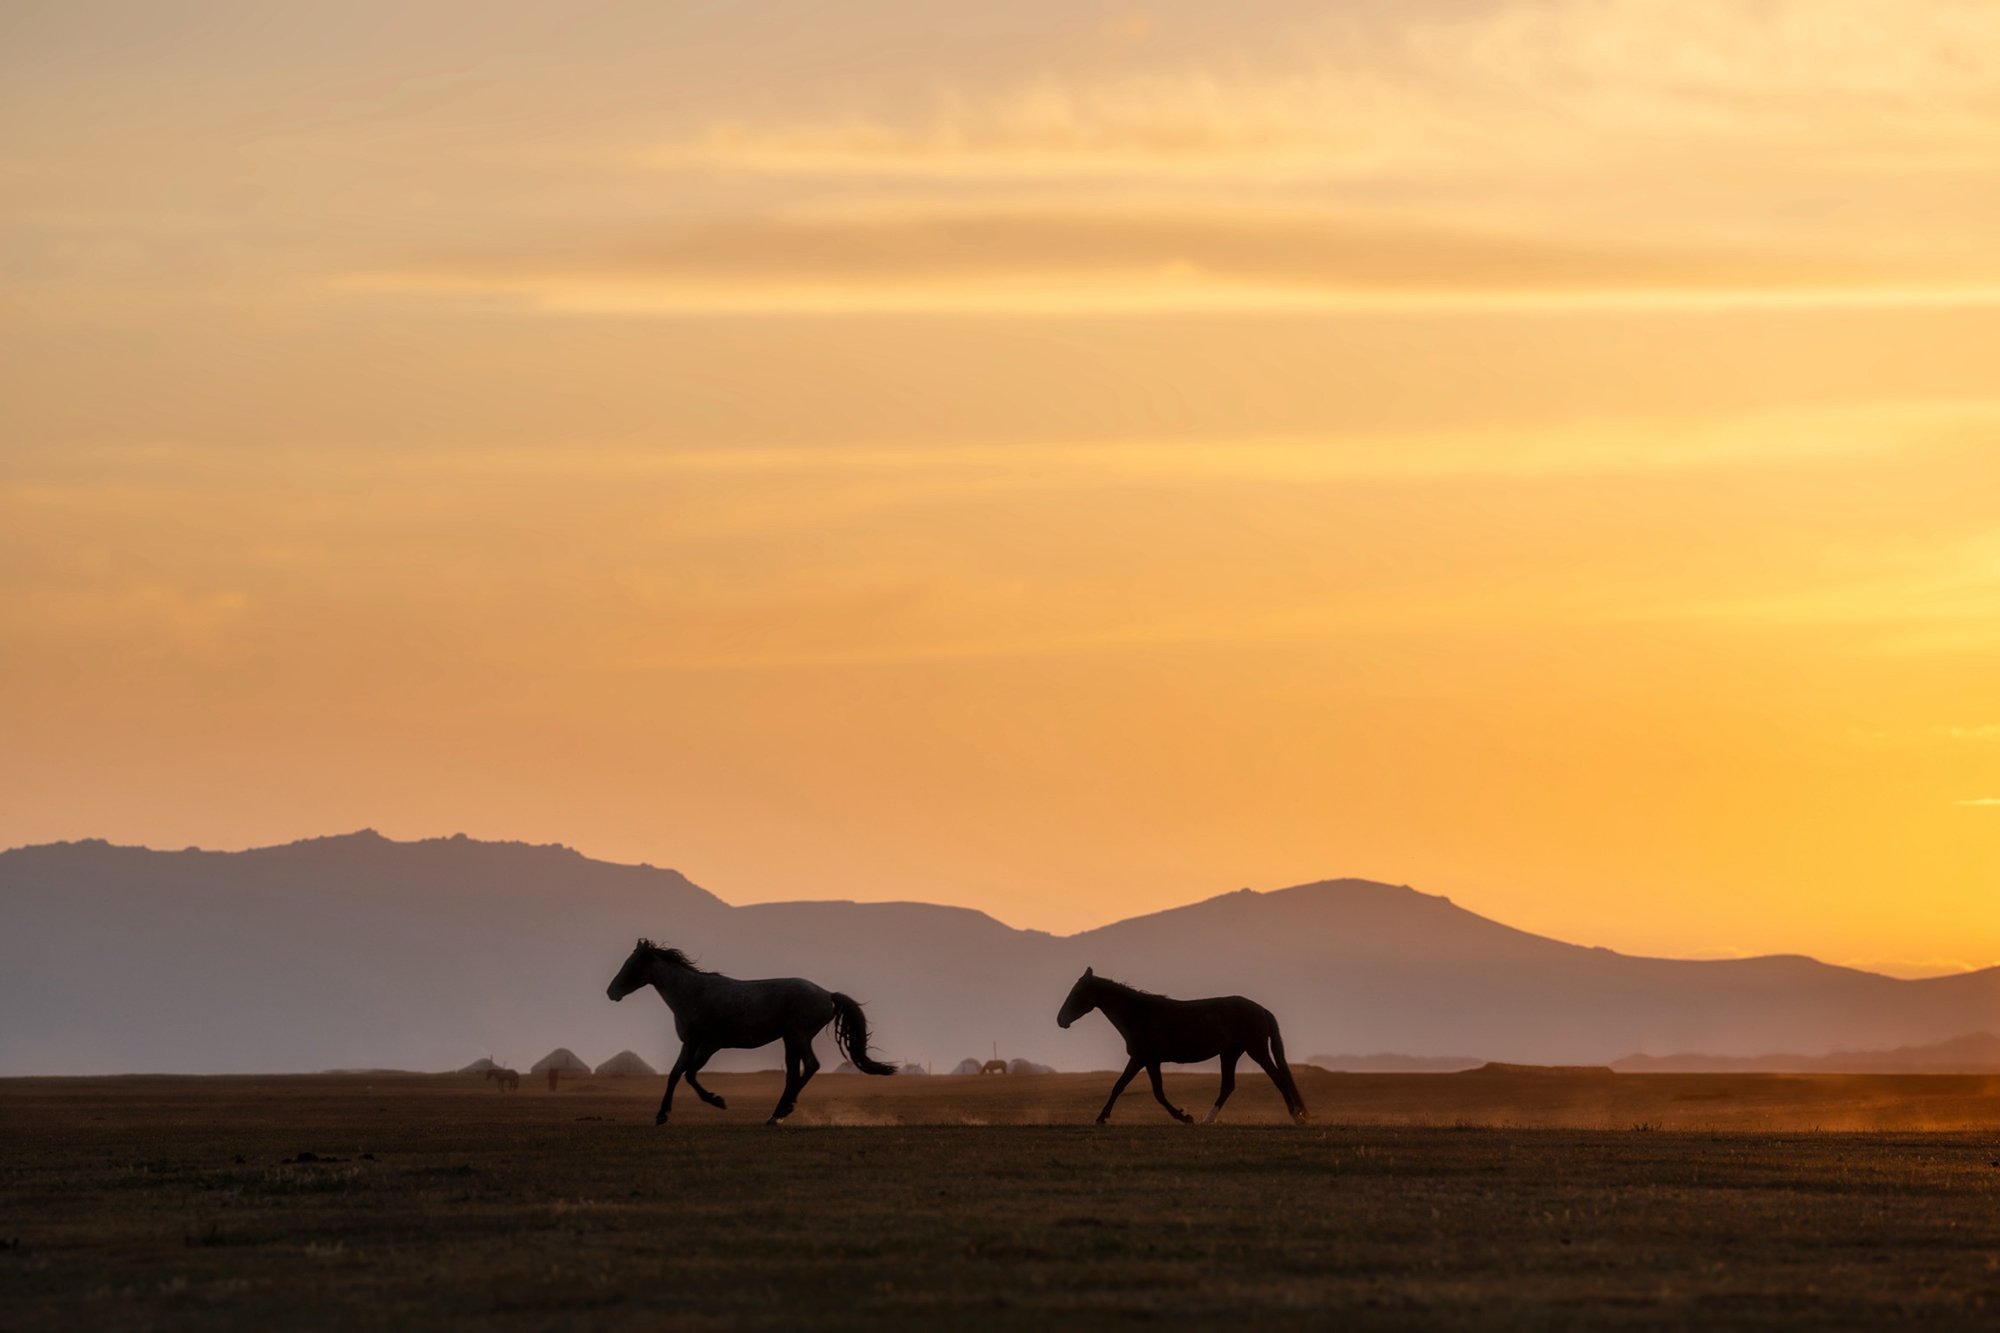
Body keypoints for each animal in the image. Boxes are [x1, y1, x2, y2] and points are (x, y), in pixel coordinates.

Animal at [606, 939, 896, 1125]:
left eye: (632, 964)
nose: (611, 991)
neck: (693, 993)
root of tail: (828, 995)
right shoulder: (689, 1043)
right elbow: (676, 1074)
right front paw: (661, 1114)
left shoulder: (710, 1044)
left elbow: (690, 1074)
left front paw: (717, 1100)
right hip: (790, 1040)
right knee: (794, 1074)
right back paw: (776, 1114)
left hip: (798, 1036)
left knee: (810, 1066)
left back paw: (783, 1110)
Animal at [1056, 968, 1308, 1125]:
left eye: (1077, 993)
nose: (1061, 1020)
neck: (1139, 1014)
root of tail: (1261, 1009)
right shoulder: (1150, 1061)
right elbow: (1154, 1091)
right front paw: (1185, 1116)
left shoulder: (1141, 1058)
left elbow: (1122, 1086)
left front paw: (1101, 1118)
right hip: (1230, 1053)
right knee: (1228, 1086)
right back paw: (1207, 1120)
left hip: (1256, 1050)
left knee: (1278, 1078)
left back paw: (1297, 1117)